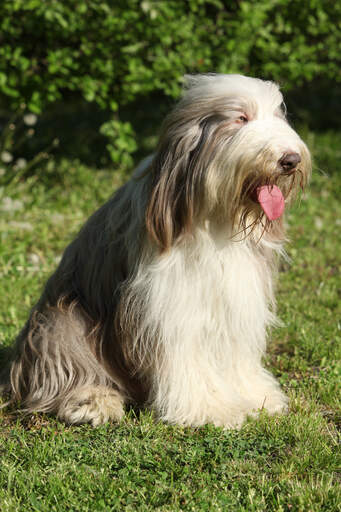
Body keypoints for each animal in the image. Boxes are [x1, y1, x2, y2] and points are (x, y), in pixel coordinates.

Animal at [1, 75, 310, 428]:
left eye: (277, 116)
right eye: (241, 118)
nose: (291, 160)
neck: (215, 214)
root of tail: (15, 373)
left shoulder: (235, 293)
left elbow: (234, 351)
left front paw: (256, 396)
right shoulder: (169, 300)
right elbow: (184, 353)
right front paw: (210, 409)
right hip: (62, 319)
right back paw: (93, 401)